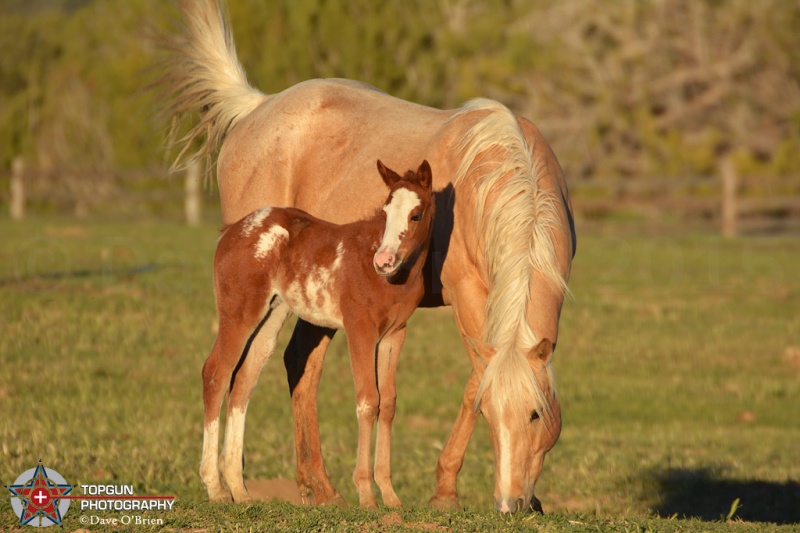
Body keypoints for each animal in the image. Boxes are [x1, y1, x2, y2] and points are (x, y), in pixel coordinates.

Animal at [203, 159, 434, 508]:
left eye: (416, 215)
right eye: (385, 212)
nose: (383, 261)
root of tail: (232, 230)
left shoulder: (395, 334)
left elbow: (389, 403)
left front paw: (391, 496)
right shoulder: (359, 328)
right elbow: (368, 401)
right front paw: (366, 495)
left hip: (271, 315)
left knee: (243, 381)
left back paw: (240, 491)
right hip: (239, 313)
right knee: (217, 372)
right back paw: (215, 488)